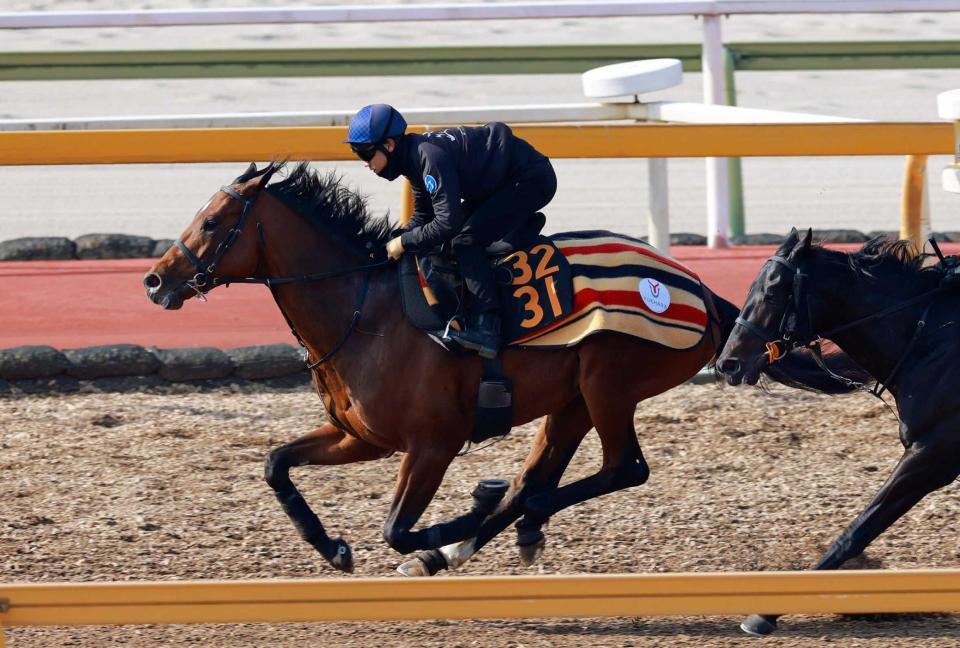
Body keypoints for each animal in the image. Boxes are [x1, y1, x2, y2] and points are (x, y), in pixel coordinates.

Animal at [143, 161, 854, 577]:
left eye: (214, 222)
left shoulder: (432, 443)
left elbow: (397, 529)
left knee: (619, 470)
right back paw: (499, 530)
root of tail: (701, 293)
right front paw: (334, 547)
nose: (155, 281)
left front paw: (443, 530)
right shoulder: (362, 436)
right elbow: (275, 465)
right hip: (573, 398)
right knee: (541, 475)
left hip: (609, 382)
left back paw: (480, 530)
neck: (365, 311)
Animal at [717, 227, 957, 636]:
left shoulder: (930, 456)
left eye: (772, 290)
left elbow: (855, 532)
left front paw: (765, 614)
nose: (727, 362)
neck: (929, 340)